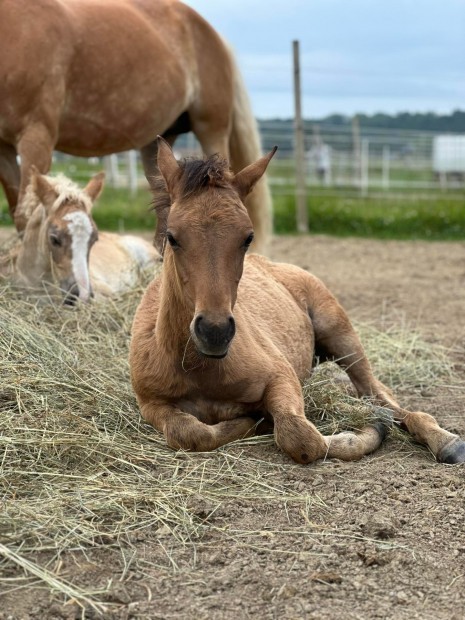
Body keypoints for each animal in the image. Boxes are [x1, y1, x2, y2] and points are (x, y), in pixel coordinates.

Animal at [0, 0, 270, 254]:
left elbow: (30, 216)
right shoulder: (5, 150)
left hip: (211, 129)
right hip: (158, 145)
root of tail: (213, 35)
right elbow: (19, 215)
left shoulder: (36, 137)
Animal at [129, 138, 464, 462]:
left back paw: (444, 440)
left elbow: (299, 435)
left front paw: (367, 431)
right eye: (172, 236)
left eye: (247, 237)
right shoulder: (152, 403)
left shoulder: (282, 377)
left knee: (380, 395)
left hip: (342, 335)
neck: (199, 367)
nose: (215, 332)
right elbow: (189, 433)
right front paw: (249, 422)